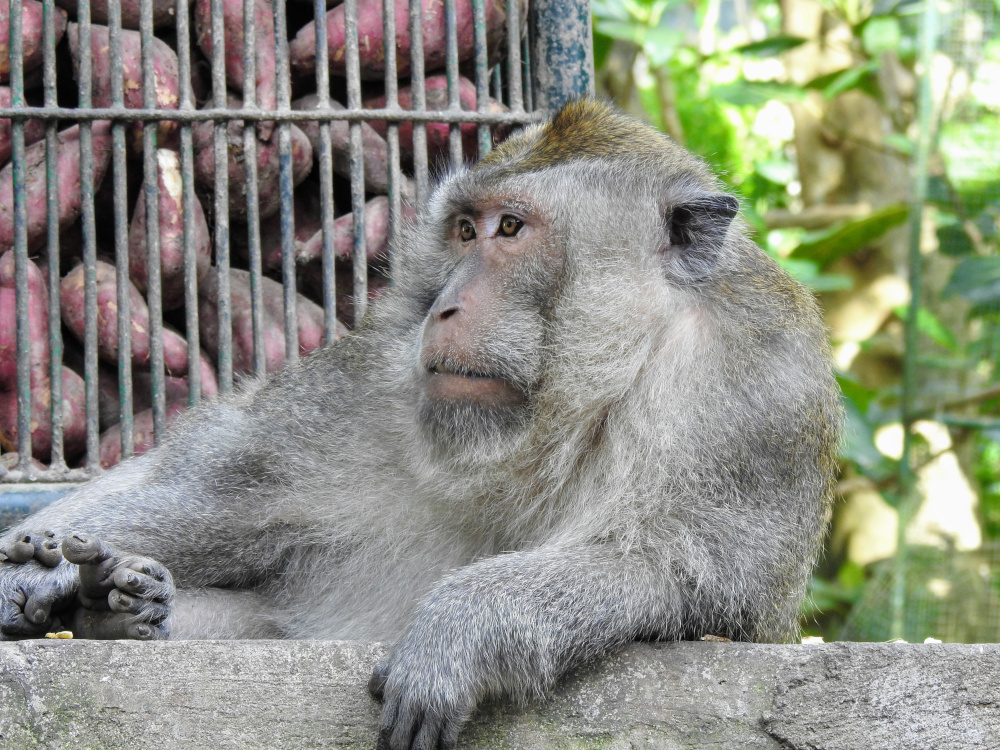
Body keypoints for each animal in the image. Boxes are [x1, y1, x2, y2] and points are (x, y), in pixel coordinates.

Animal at [0, 101, 844, 750]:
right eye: (465, 231)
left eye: (512, 229)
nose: (446, 305)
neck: (582, 404)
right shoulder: (376, 377)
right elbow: (228, 487)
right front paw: (40, 570)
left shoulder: (757, 399)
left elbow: (688, 578)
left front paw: (463, 624)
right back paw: (105, 608)